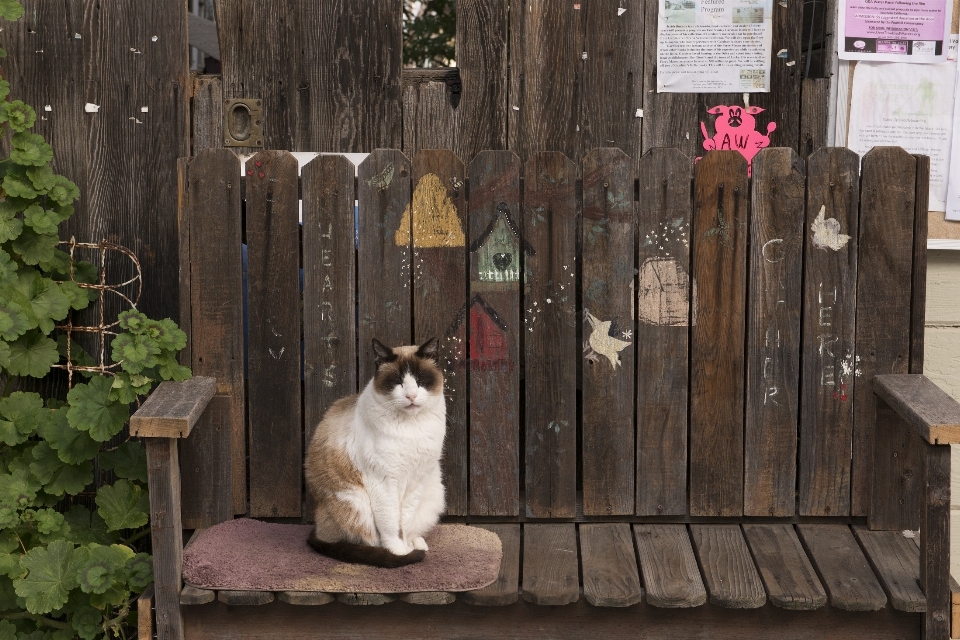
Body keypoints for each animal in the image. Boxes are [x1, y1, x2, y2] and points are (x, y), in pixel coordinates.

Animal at [304, 338, 446, 568]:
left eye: (420, 379)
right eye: (397, 381)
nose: (411, 395)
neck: (411, 427)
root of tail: (318, 525)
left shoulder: (416, 481)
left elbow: (405, 523)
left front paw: (407, 545)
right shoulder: (385, 482)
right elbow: (391, 525)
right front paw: (399, 553)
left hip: (433, 492)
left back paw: (417, 543)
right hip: (357, 503)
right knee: (365, 540)